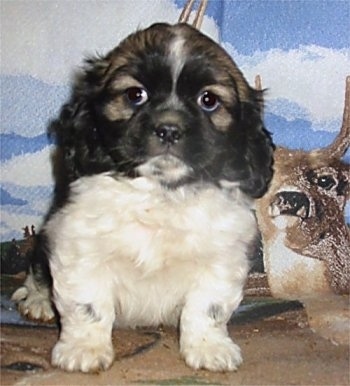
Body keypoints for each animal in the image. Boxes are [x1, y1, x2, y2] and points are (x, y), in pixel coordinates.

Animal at [11, 22, 274, 372]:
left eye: (208, 100)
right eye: (135, 95)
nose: (169, 128)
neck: (159, 195)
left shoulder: (222, 258)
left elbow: (208, 307)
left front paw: (210, 348)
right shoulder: (80, 247)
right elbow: (87, 304)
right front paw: (84, 349)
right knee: (38, 268)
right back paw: (38, 300)